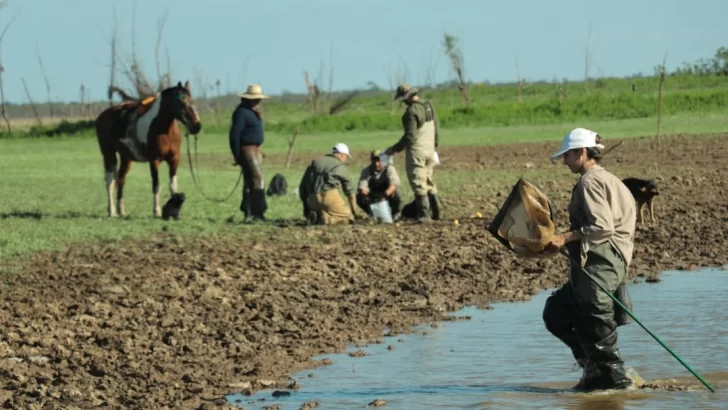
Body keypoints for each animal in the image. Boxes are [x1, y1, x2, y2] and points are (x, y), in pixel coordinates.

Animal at [95, 81, 202, 219]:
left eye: (191, 99)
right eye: (181, 101)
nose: (197, 126)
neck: (164, 130)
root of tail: (102, 115)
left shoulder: (174, 159)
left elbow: (173, 186)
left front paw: (173, 211)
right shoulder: (154, 161)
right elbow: (156, 186)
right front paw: (157, 211)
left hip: (126, 158)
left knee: (121, 179)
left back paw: (121, 210)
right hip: (108, 154)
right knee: (110, 181)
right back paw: (112, 211)